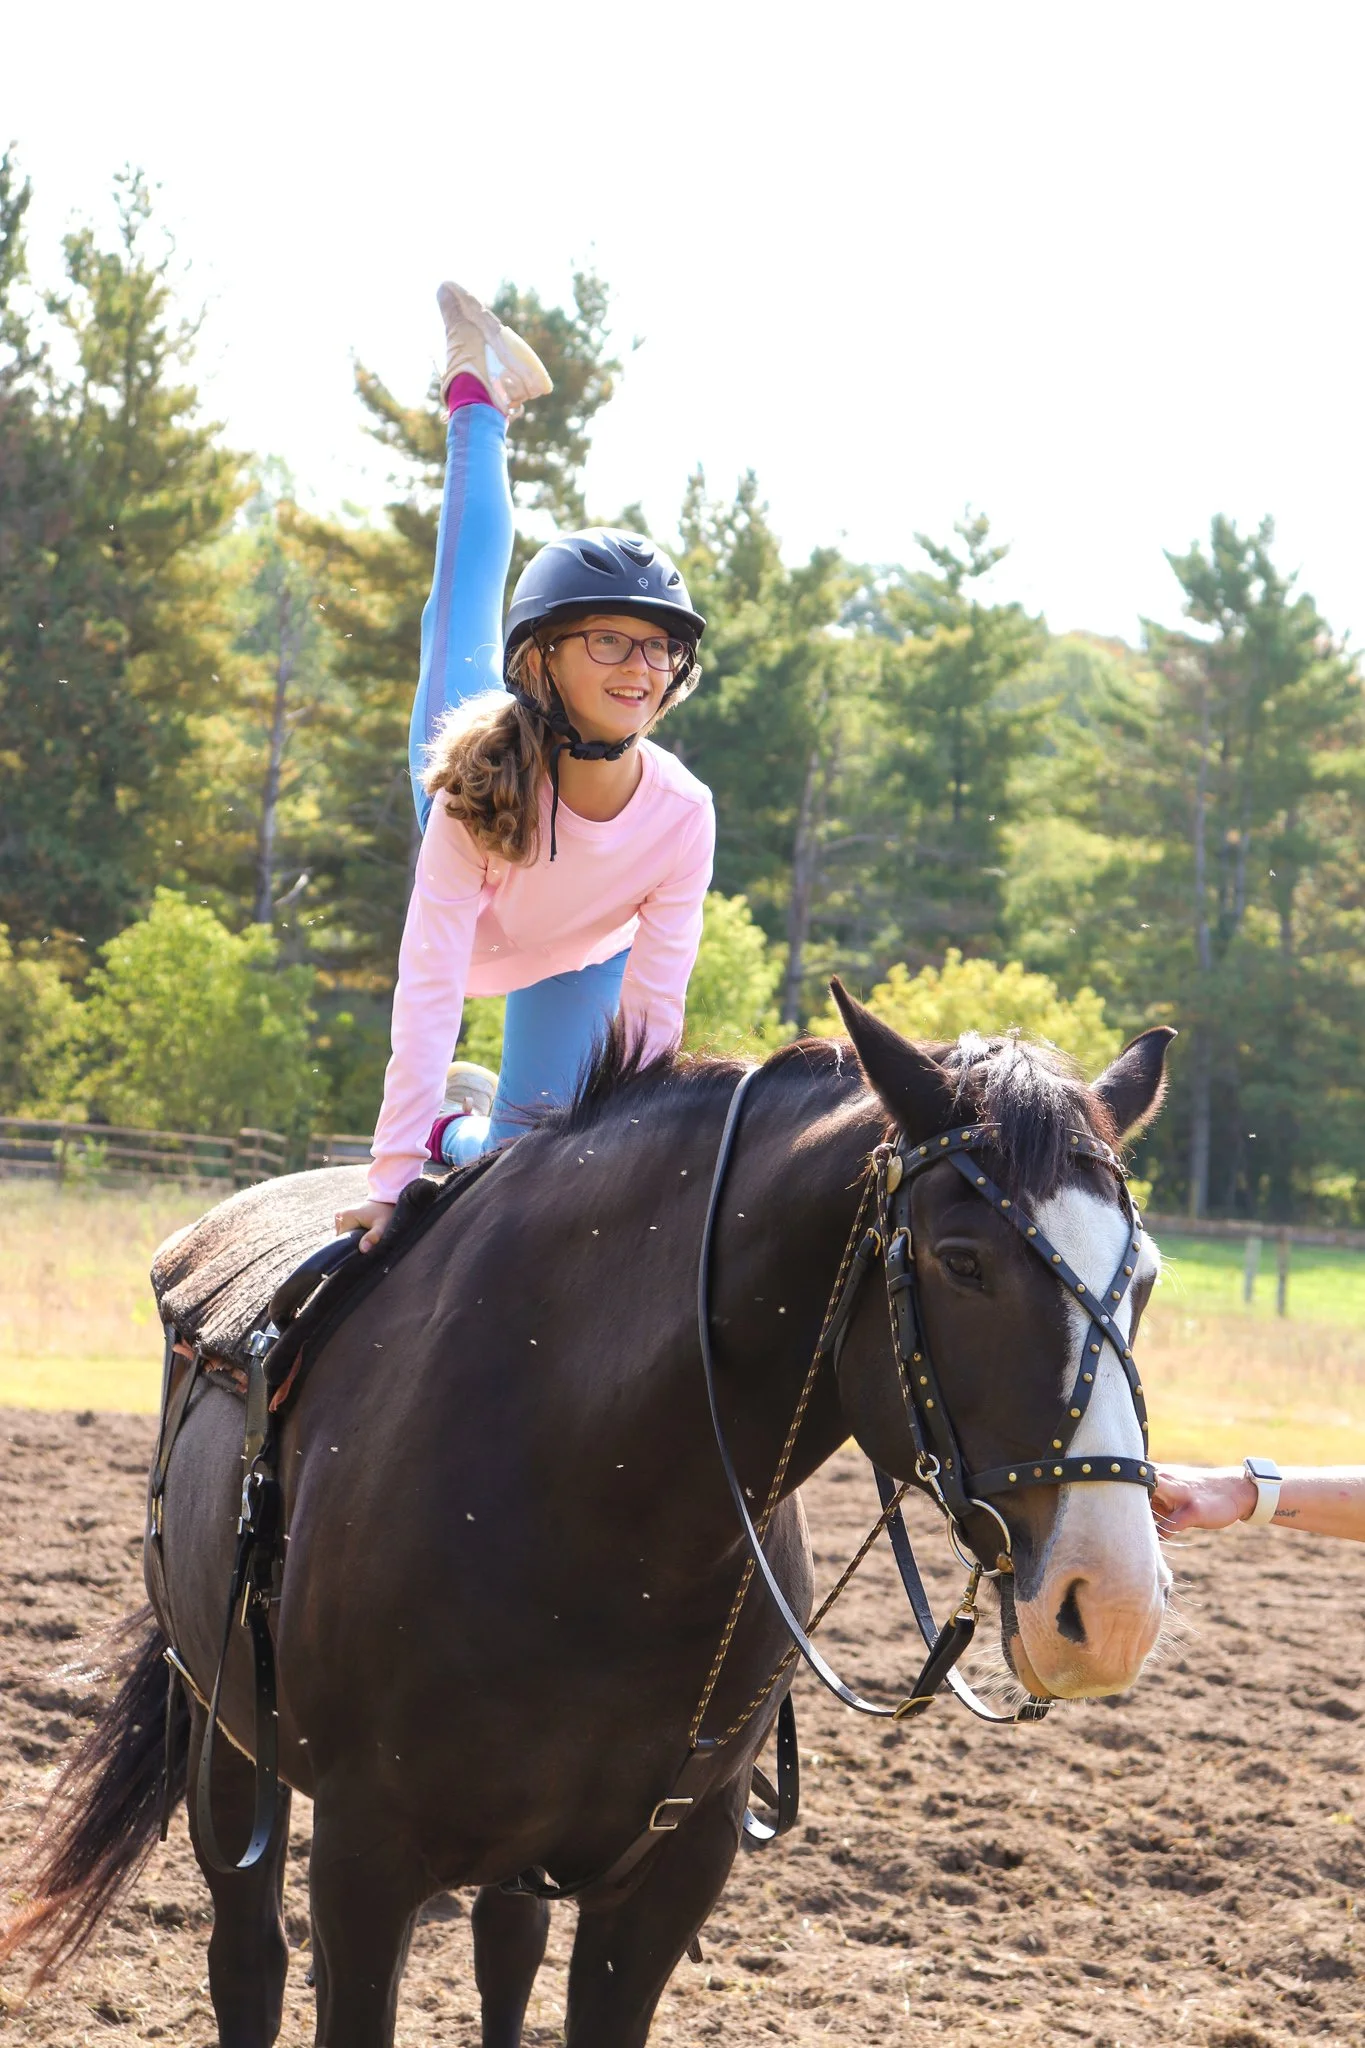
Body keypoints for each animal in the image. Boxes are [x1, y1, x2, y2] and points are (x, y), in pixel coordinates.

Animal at [0, 989, 1175, 2047]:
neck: (597, 1502)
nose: (1111, 1603)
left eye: (1146, 1275)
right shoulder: (362, 1860)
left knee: (504, 1951)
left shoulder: (668, 1875)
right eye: (964, 1259)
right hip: (224, 1733)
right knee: (250, 1959)